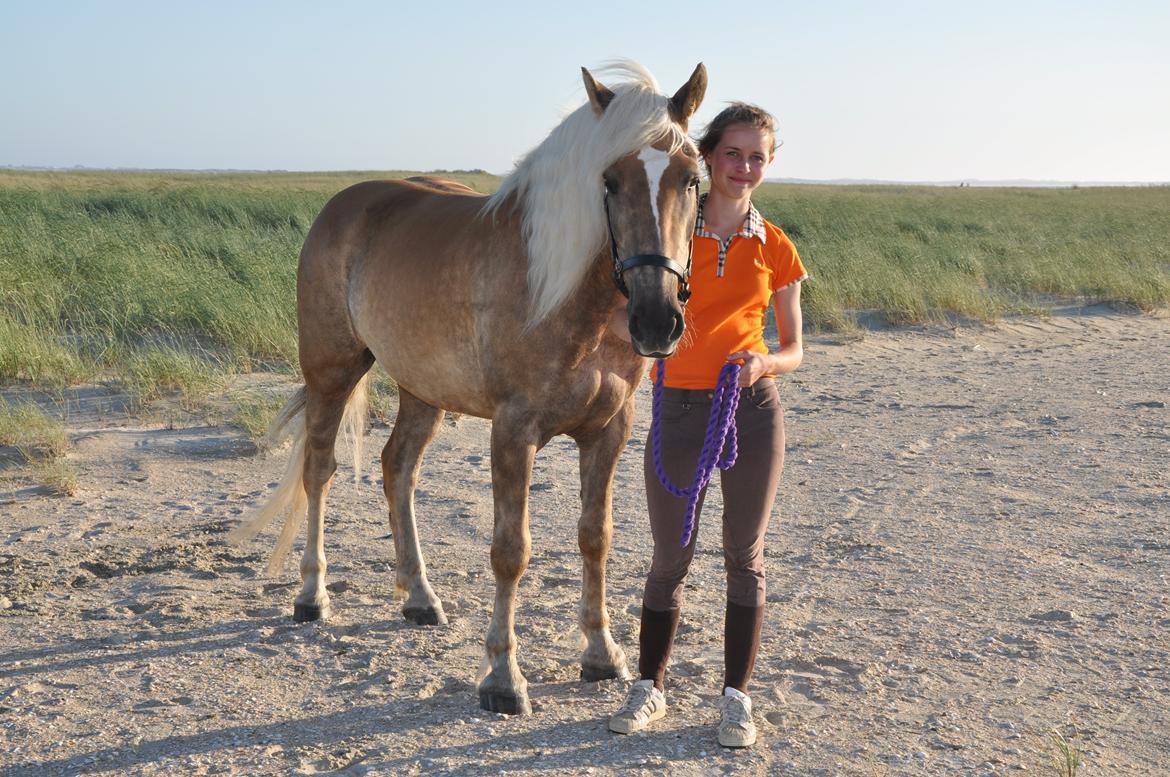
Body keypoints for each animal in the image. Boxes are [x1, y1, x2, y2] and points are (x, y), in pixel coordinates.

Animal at [226, 60, 702, 716]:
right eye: (609, 180)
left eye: (691, 178)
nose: (658, 321)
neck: (562, 296)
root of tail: (345, 205)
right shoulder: (514, 430)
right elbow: (510, 551)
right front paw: (502, 678)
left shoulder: (609, 429)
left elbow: (595, 538)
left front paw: (602, 654)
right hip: (332, 369)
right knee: (319, 470)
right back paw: (312, 594)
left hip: (421, 391)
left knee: (397, 468)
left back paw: (419, 597)